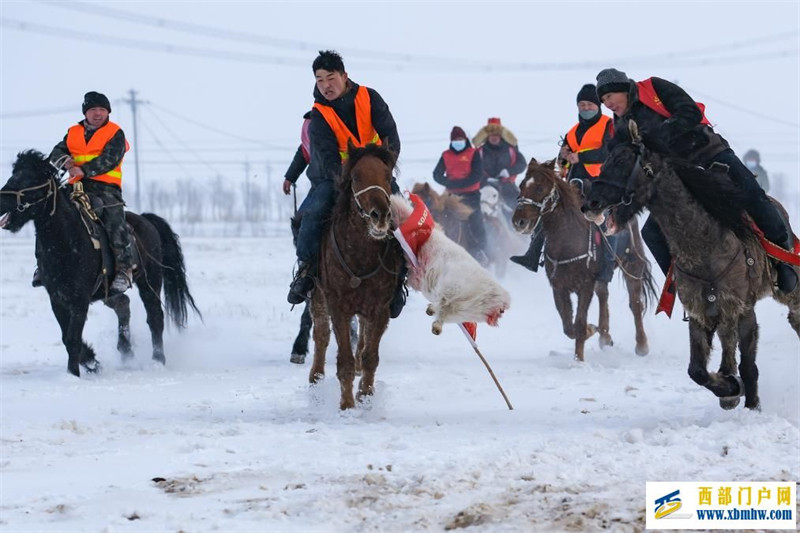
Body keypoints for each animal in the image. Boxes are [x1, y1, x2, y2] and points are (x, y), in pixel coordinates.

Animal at [0, 150, 200, 374]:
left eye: (30, 179)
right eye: (13, 174)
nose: (1, 200)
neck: (66, 240)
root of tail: (146, 220)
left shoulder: (79, 299)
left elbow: (73, 339)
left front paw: (74, 374)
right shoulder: (57, 298)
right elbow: (66, 337)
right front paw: (91, 362)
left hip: (151, 282)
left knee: (155, 317)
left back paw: (157, 360)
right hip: (107, 290)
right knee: (123, 304)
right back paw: (126, 351)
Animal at [308, 141, 406, 408]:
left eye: (387, 176)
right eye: (356, 177)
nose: (380, 215)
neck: (361, 256)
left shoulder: (380, 307)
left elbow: (370, 355)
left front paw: (366, 395)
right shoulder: (338, 306)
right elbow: (344, 360)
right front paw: (347, 405)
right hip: (317, 295)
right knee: (321, 334)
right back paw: (315, 377)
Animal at [512, 156, 656, 360]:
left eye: (540, 188)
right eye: (522, 185)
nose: (519, 222)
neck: (568, 240)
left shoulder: (585, 286)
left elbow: (579, 325)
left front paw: (579, 359)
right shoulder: (559, 286)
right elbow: (568, 327)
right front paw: (592, 330)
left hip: (632, 263)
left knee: (635, 303)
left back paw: (642, 345)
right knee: (603, 295)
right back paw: (605, 336)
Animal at [580, 121, 800, 412]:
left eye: (622, 160)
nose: (589, 204)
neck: (707, 247)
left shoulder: (742, 309)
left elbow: (748, 366)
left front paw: (751, 404)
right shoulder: (700, 313)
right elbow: (697, 371)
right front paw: (729, 388)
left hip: (785, 288)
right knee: (726, 341)